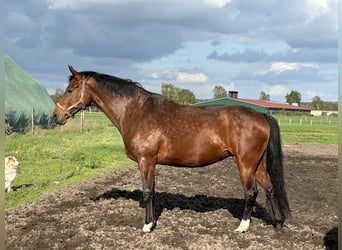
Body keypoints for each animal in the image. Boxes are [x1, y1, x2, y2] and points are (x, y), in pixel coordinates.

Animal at [52, 66, 288, 232]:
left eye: (70, 89)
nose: (56, 116)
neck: (136, 111)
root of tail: (262, 115)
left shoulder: (145, 161)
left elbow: (147, 192)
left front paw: (147, 226)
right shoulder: (151, 163)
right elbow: (153, 191)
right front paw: (152, 221)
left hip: (245, 163)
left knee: (252, 192)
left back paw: (242, 227)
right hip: (256, 164)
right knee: (269, 188)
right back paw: (277, 223)